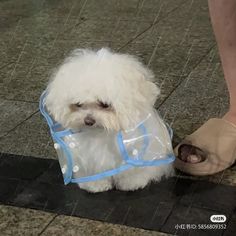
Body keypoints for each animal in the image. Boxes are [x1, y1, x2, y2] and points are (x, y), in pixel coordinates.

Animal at [45, 48, 173, 192]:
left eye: (104, 104)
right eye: (78, 104)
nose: (88, 121)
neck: (102, 133)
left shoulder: (137, 151)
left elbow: (133, 170)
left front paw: (132, 182)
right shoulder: (88, 157)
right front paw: (95, 185)